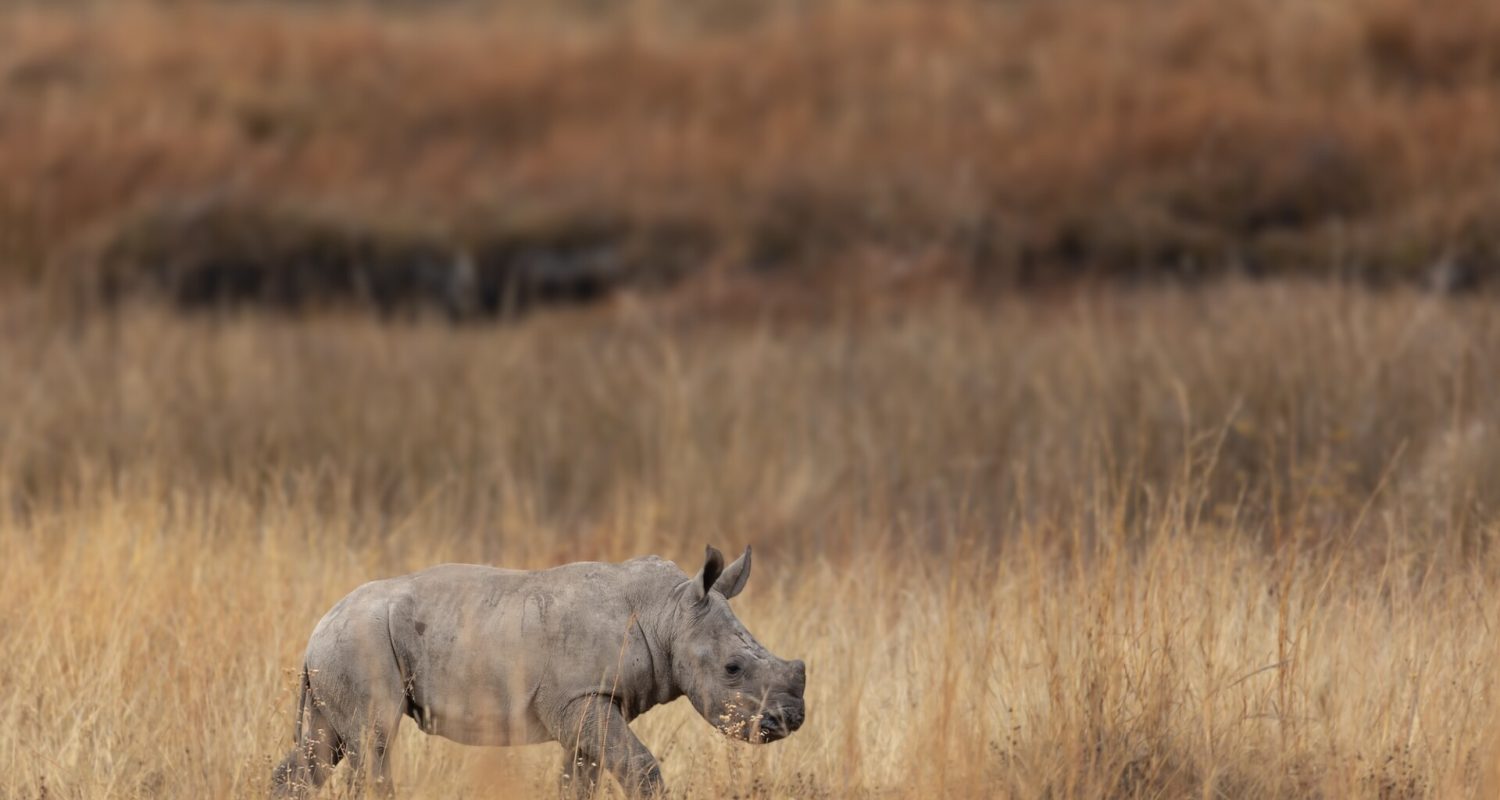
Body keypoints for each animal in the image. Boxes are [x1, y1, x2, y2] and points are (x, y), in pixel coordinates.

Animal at [272, 545, 806, 797]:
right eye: (733, 669)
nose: (790, 720)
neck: (670, 611)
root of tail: (317, 628)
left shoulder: (587, 701)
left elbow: (580, 779)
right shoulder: (579, 699)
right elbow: (640, 769)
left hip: (340, 650)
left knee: (322, 748)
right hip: (357, 644)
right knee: (374, 742)